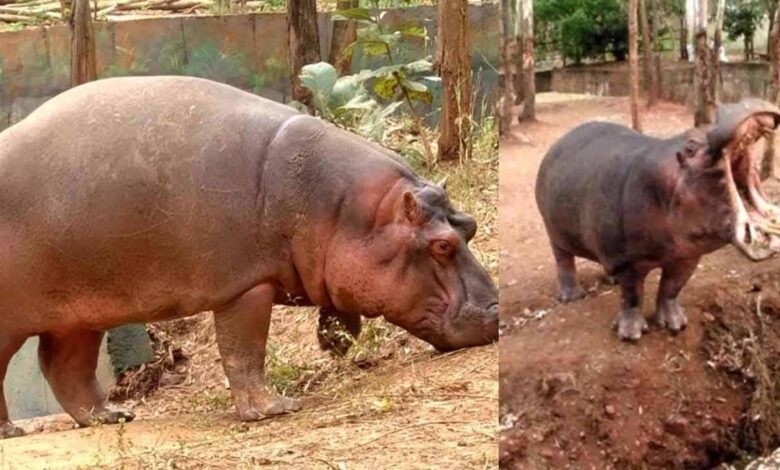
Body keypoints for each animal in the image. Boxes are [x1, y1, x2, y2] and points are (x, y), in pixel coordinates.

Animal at [0, 76, 498, 438]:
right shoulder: (245, 286)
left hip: (80, 312)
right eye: (442, 245)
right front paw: (275, 408)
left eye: (470, 225)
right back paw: (12, 433)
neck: (344, 208)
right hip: (17, 319)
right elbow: (244, 352)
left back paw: (112, 416)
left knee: (65, 366)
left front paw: (335, 342)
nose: (497, 310)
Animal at [535, 99, 780, 341]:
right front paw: (631, 335)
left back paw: (611, 281)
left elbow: (671, 288)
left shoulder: (687, 256)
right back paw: (571, 297)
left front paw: (676, 324)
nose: (742, 103)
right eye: (690, 147)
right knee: (563, 260)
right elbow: (632, 295)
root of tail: (557, 144)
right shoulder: (627, 261)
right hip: (554, 232)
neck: (667, 183)